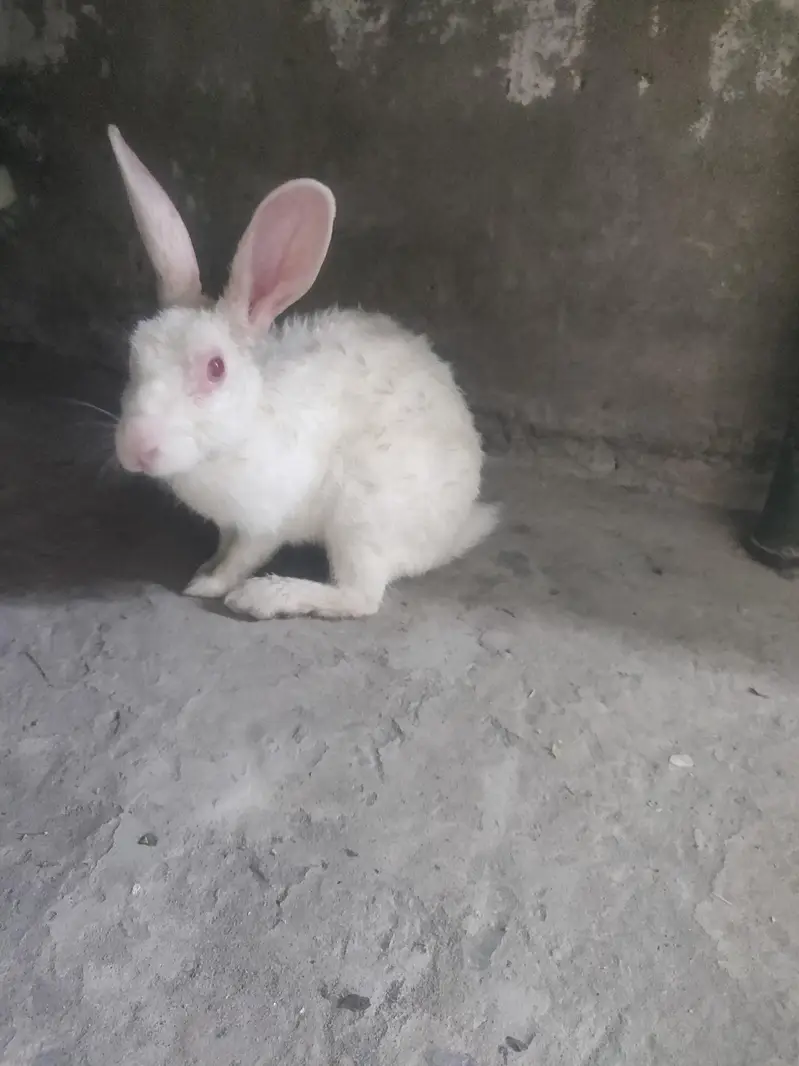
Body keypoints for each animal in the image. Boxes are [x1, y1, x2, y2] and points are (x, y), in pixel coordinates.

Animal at [108, 125, 498, 620]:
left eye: (216, 368)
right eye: (133, 354)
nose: (136, 449)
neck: (239, 434)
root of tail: (454, 529)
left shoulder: (268, 518)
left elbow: (244, 555)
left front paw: (209, 584)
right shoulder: (232, 522)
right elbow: (226, 544)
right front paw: (205, 567)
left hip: (363, 516)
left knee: (360, 596)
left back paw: (268, 596)